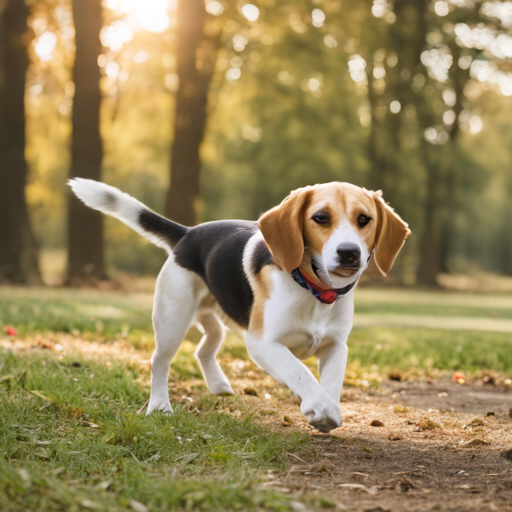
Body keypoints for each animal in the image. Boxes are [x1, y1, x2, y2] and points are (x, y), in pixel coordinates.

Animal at [70, 180, 410, 432]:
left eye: (364, 219)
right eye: (321, 218)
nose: (349, 253)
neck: (314, 290)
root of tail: (189, 232)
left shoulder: (336, 345)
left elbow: (330, 379)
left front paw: (327, 405)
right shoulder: (263, 343)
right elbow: (300, 371)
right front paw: (320, 407)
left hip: (212, 316)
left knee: (205, 347)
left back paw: (219, 385)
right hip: (172, 320)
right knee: (159, 362)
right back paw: (160, 406)